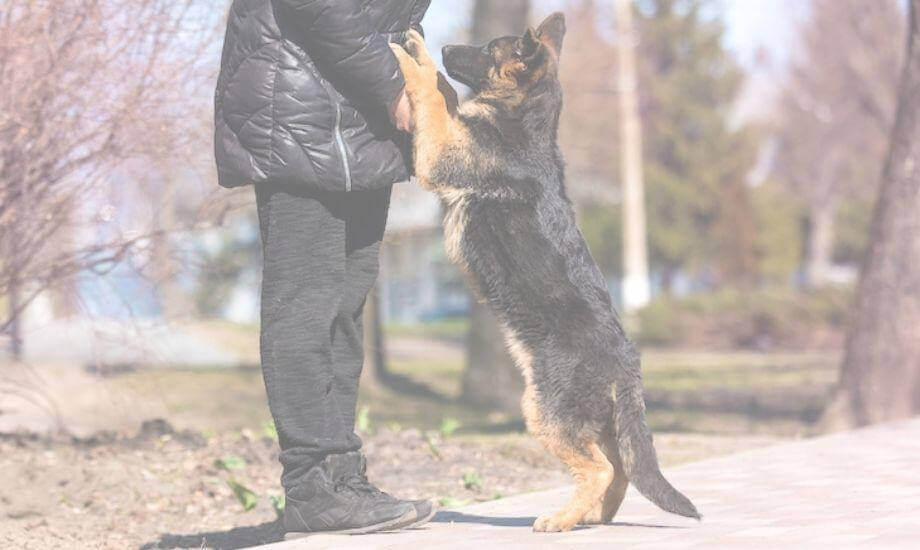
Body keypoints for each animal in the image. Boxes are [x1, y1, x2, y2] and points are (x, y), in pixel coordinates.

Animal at [388, 10, 696, 532]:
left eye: (489, 48)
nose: (445, 46)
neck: (523, 123)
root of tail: (628, 366)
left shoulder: (440, 155)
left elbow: (430, 91)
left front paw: (413, 57)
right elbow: (445, 97)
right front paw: (424, 59)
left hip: (546, 411)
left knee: (600, 468)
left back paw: (560, 519)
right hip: (592, 420)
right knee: (617, 469)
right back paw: (589, 517)